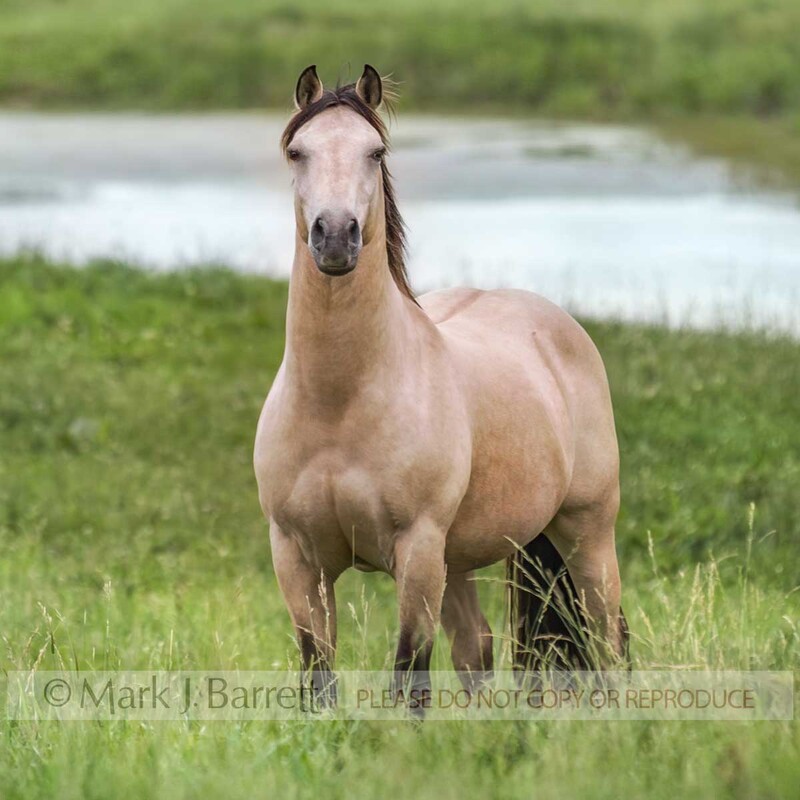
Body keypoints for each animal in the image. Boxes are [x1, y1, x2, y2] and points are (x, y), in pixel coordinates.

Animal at [254, 64, 628, 707]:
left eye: (375, 152)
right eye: (297, 151)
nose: (336, 237)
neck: (339, 401)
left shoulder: (418, 548)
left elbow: (411, 674)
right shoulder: (298, 559)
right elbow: (319, 674)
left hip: (585, 532)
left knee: (610, 638)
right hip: (468, 556)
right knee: (478, 648)